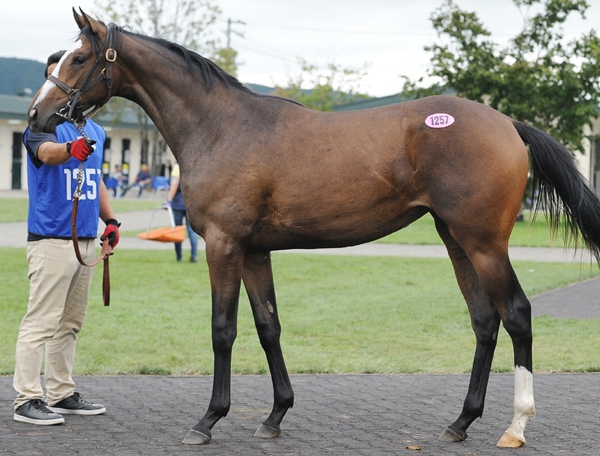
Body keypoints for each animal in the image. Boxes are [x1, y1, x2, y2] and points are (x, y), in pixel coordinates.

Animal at [27, 9, 600, 448]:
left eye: (79, 58)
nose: (37, 116)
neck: (221, 127)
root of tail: (508, 123)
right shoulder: (254, 252)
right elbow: (268, 327)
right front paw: (275, 415)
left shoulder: (224, 246)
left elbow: (222, 330)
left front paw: (208, 420)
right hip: (456, 241)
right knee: (485, 321)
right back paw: (460, 423)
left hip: (485, 245)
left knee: (517, 315)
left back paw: (515, 427)